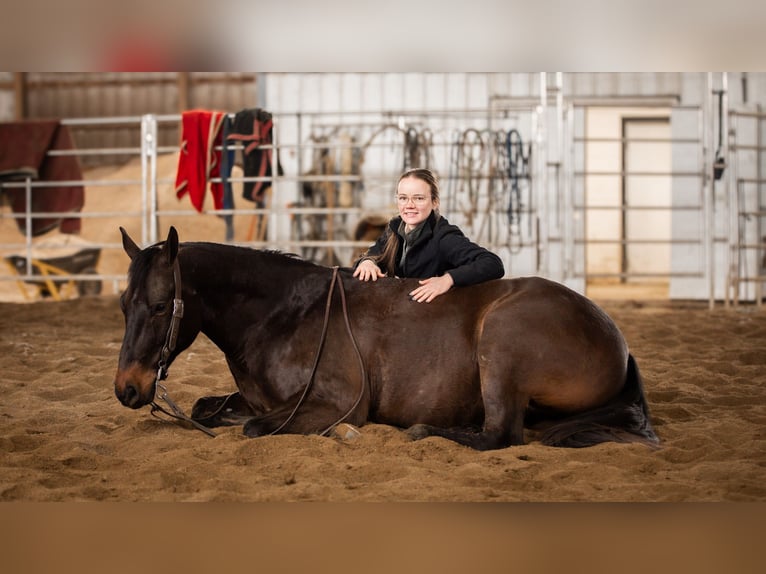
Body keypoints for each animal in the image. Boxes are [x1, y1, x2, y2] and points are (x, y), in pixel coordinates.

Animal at [114, 227, 660, 452]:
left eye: (160, 306)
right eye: (123, 304)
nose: (127, 389)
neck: (284, 313)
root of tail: (617, 339)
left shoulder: (334, 403)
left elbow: (253, 429)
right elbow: (210, 408)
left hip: (502, 345)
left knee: (499, 435)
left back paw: (422, 432)